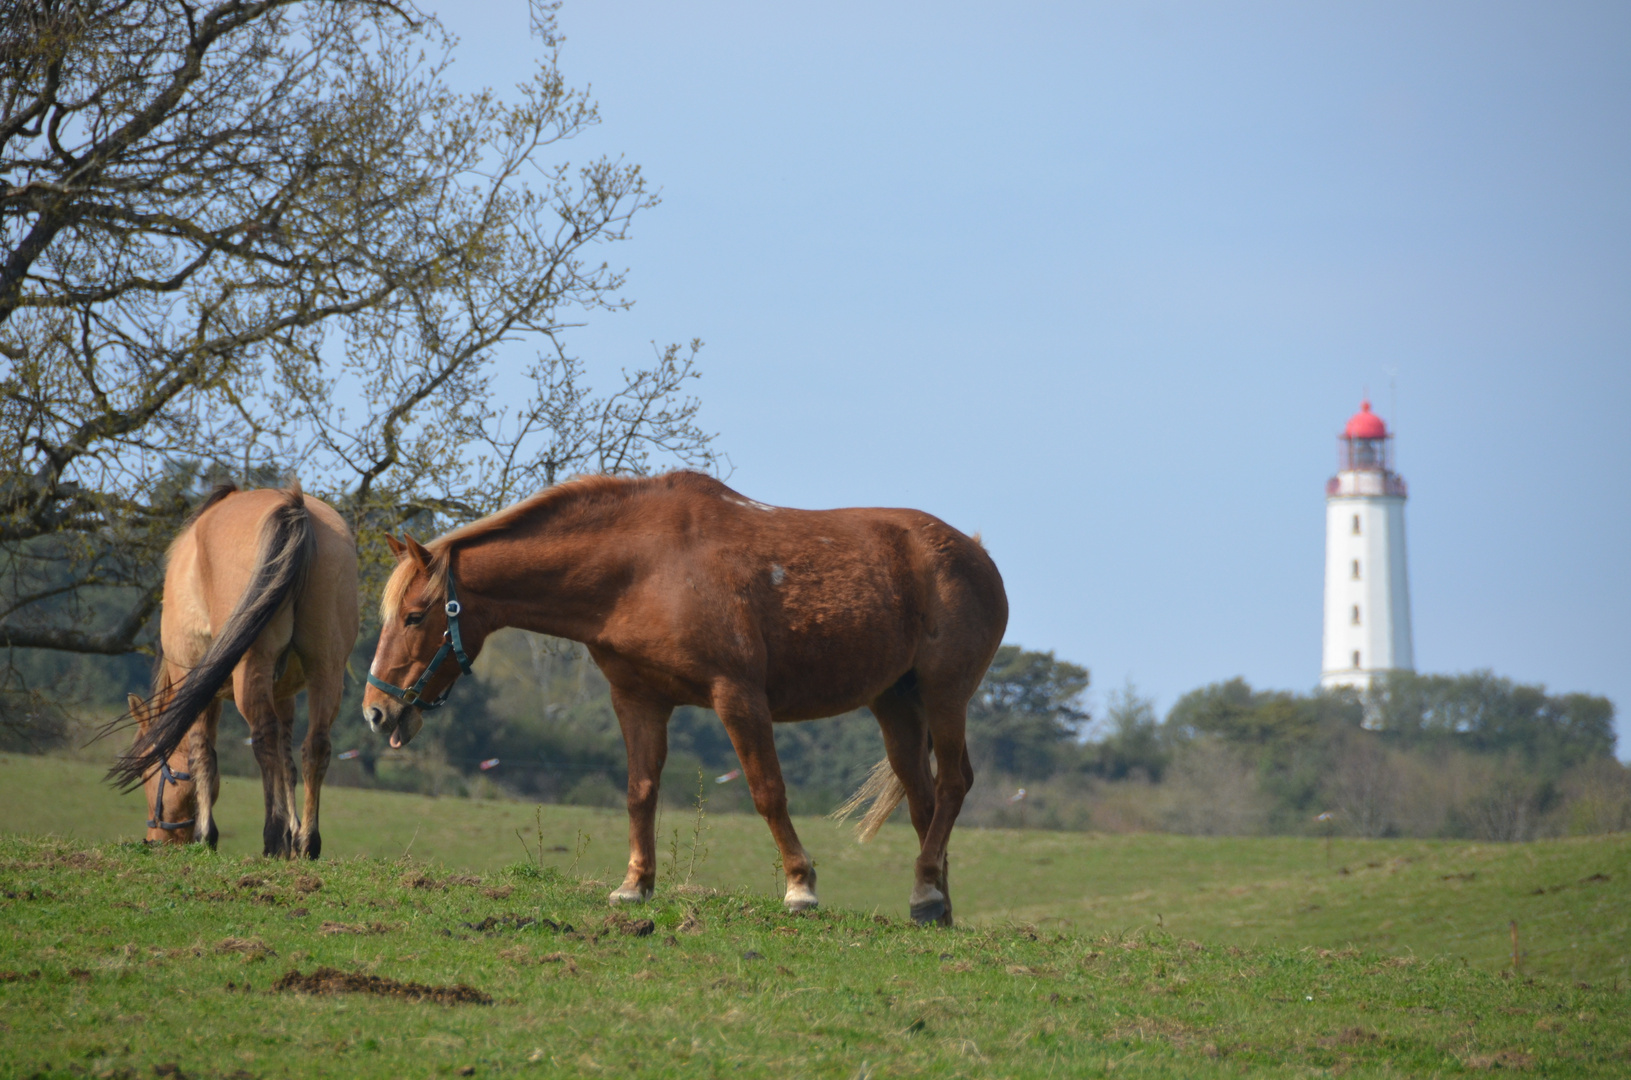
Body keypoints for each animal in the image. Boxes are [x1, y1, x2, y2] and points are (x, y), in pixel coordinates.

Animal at [111, 486, 360, 861]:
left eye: (148, 772)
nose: (154, 839)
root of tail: (293, 505)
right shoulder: (284, 694)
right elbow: (287, 765)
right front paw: (293, 831)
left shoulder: (197, 683)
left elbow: (203, 755)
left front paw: (206, 835)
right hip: (326, 669)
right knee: (315, 745)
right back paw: (307, 842)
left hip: (251, 668)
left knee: (263, 736)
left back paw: (272, 838)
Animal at [363, 473, 1004, 920]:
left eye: (415, 615)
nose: (377, 710)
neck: (642, 568)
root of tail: (975, 554)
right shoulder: (637, 699)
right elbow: (639, 792)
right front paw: (635, 885)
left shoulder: (737, 697)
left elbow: (768, 792)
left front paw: (800, 886)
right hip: (895, 703)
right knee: (924, 800)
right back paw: (933, 898)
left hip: (945, 697)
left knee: (954, 785)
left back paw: (926, 892)